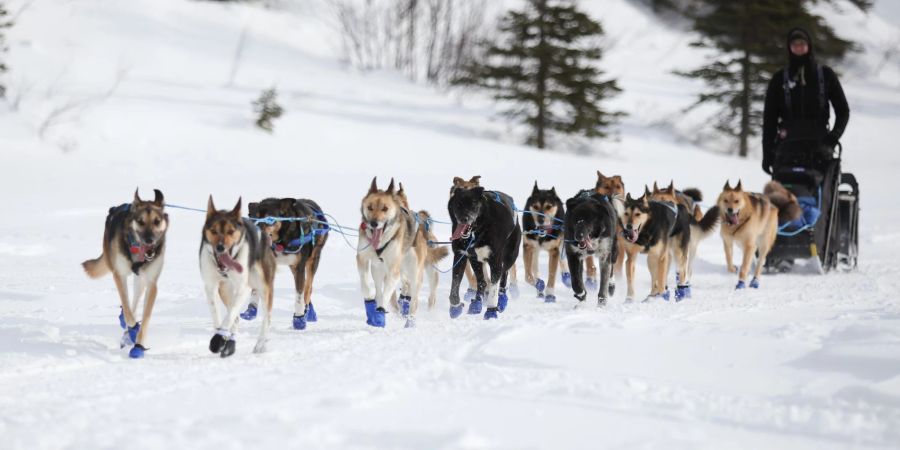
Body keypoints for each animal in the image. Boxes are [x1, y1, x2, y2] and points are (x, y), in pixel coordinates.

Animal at [81, 189, 169, 358]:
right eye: (140, 221)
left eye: (157, 221)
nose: (149, 240)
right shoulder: (119, 274)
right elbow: (127, 310)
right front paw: (133, 328)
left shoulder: (151, 283)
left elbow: (145, 317)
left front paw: (139, 344)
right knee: (127, 306)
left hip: (140, 281)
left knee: (134, 301)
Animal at [448, 186, 520, 320]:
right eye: (458, 204)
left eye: (473, 205)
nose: (464, 219)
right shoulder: (461, 256)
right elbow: (455, 284)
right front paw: (455, 307)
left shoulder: (495, 261)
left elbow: (493, 288)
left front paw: (491, 310)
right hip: (476, 261)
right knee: (482, 281)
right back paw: (476, 303)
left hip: (509, 256)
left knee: (503, 275)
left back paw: (502, 299)